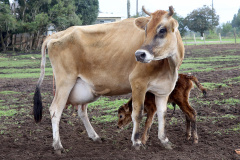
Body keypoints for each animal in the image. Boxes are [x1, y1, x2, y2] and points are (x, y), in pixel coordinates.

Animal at [33, 6, 184, 154]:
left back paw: (94, 136)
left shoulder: (164, 90)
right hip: (65, 82)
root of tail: (56, 34)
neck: (169, 66)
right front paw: (136, 142)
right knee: (55, 110)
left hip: (84, 87)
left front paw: (165, 141)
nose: (139, 54)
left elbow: (162, 114)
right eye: (146, 30)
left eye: (162, 30)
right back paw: (57, 145)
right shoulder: (138, 83)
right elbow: (137, 113)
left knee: (82, 111)